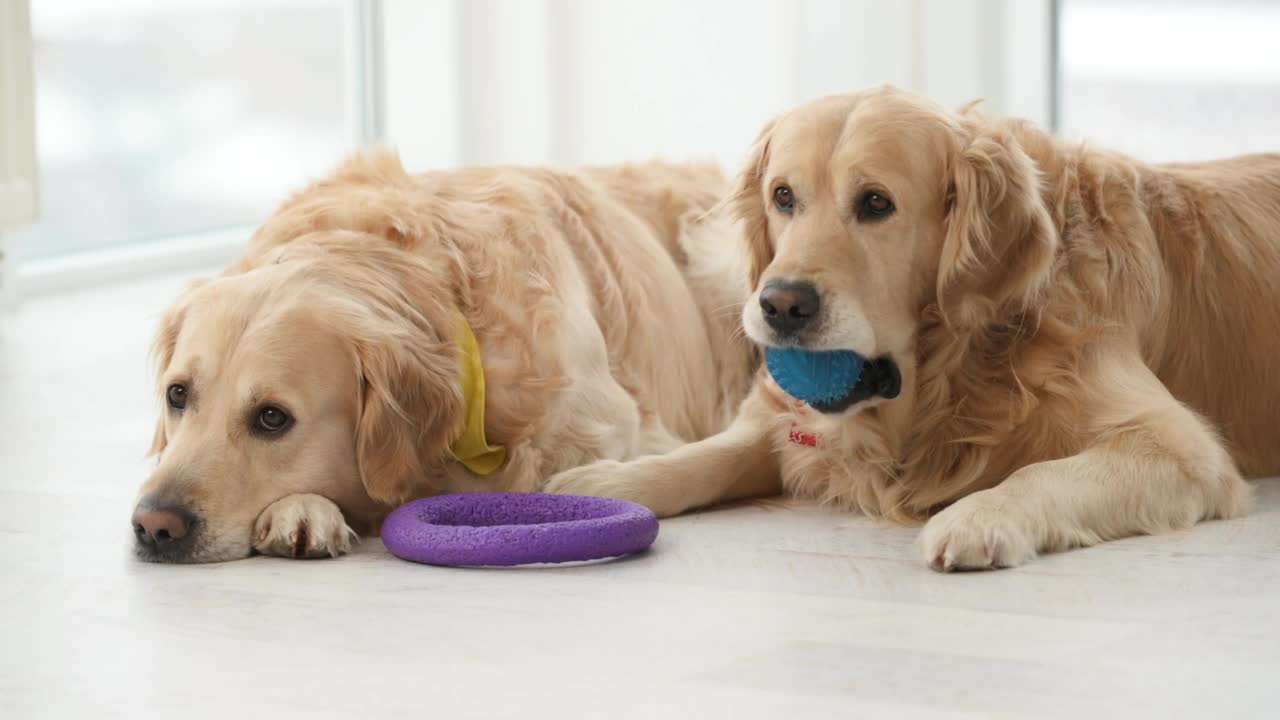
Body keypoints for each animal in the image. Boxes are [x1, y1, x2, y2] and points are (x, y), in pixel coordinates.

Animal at [545, 83, 1274, 568]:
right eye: (783, 196)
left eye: (875, 203)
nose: (780, 305)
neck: (959, 363)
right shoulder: (788, 419)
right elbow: (711, 454)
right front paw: (610, 482)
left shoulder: (1181, 448)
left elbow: (1041, 472)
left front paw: (980, 515)